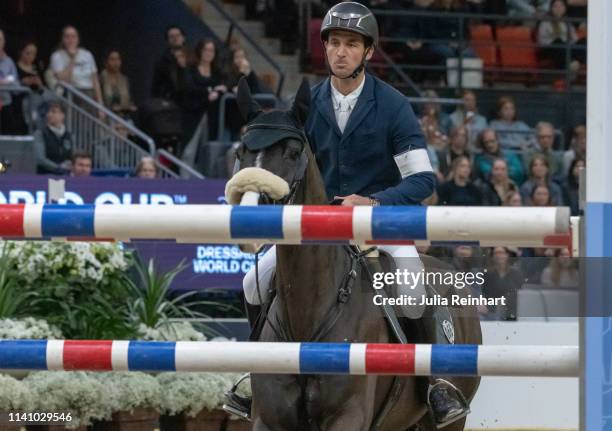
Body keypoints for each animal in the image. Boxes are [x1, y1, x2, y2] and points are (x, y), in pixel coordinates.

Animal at [227, 78, 480, 431]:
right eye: (241, 152)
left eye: (293, 153)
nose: (250, 217)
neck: (308, 314)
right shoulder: (269, 420)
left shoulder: (348, 417)